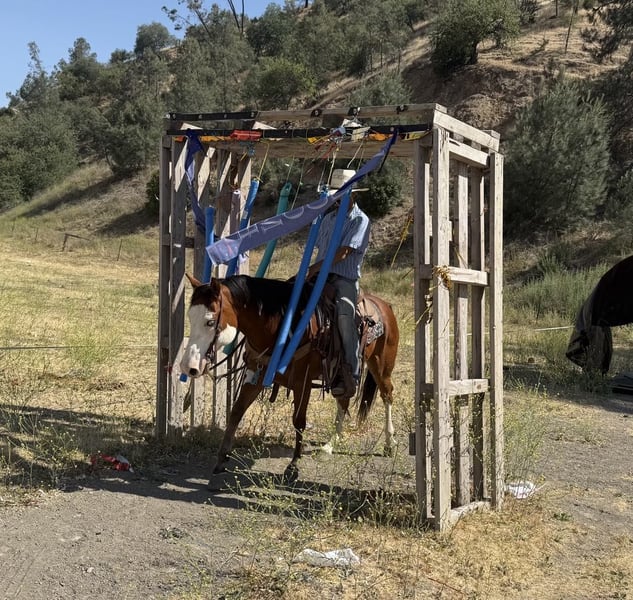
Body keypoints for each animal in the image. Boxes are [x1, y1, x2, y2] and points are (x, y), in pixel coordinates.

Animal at [180, 273, 399, 484]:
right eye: (190, 317)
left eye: (210, 321)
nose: (188, 367)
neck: (282, 328)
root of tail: (384, 304)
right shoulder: (256, 375)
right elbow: (236, 412)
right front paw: (221, 458)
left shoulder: (302, 383)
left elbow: (298, 421)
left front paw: (293, 465)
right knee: (344, 401)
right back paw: (330, 445)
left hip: (381, 365)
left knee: (387, 394)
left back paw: (389, 442)